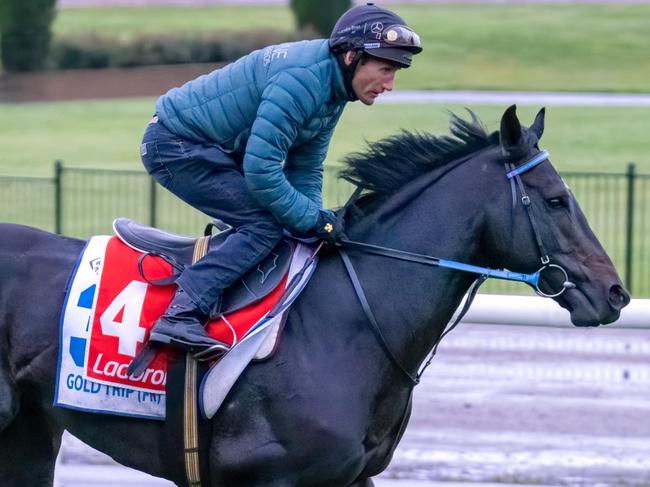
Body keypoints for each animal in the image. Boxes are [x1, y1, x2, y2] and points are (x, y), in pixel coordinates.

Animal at [0, 105, 628, 486]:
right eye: (555, 200)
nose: (616, 293)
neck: (351, 321)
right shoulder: (275, 475)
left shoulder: (355, 473)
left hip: (31, 432)